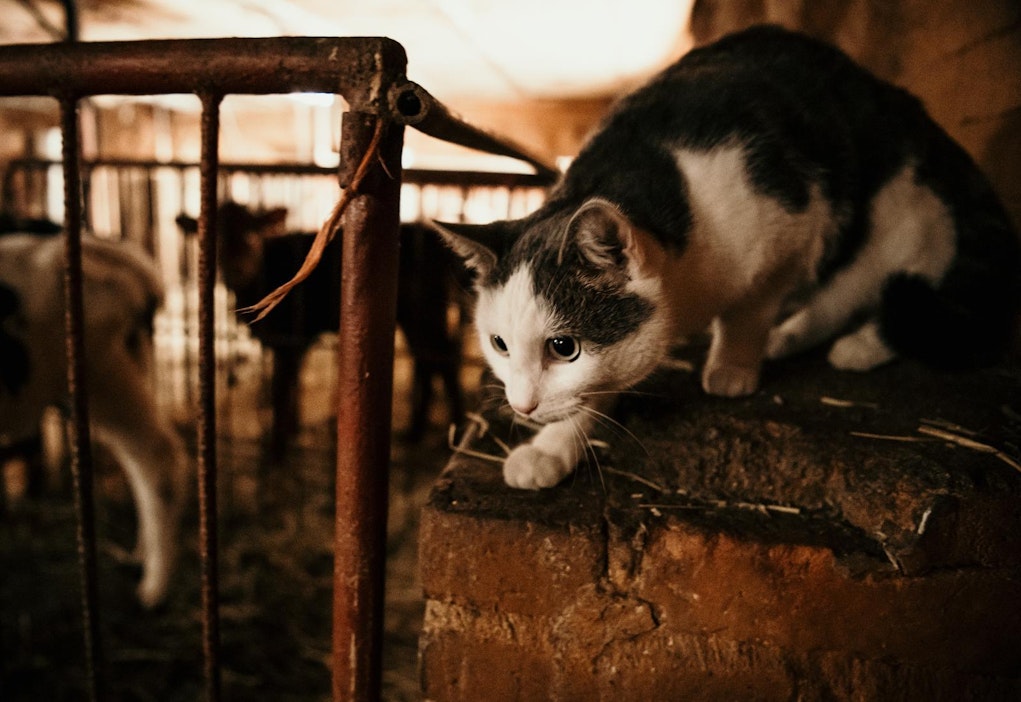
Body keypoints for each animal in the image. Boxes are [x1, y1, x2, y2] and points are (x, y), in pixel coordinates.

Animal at [177, 203, 465, 455]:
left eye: (254, 228)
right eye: (218, 233)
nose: (240, 264)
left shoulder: (289, 340)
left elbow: (280, 390)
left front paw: (276, 449)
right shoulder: (292, 343)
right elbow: (291, 385)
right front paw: (291, 431)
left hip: (423, 312)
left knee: (443, 358)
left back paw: (457, 432)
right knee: (428, 360)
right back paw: (417, 431)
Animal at [432, 26, 1021, 487]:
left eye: (563, 347)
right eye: (499, 345)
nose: (522, 406)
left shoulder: (788, 232)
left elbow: (749, 308)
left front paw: (733, 365)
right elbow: (595, 391)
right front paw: (553, 448)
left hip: (902, 213)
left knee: (895, 282)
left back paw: (856, 345)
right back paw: (792, 336)